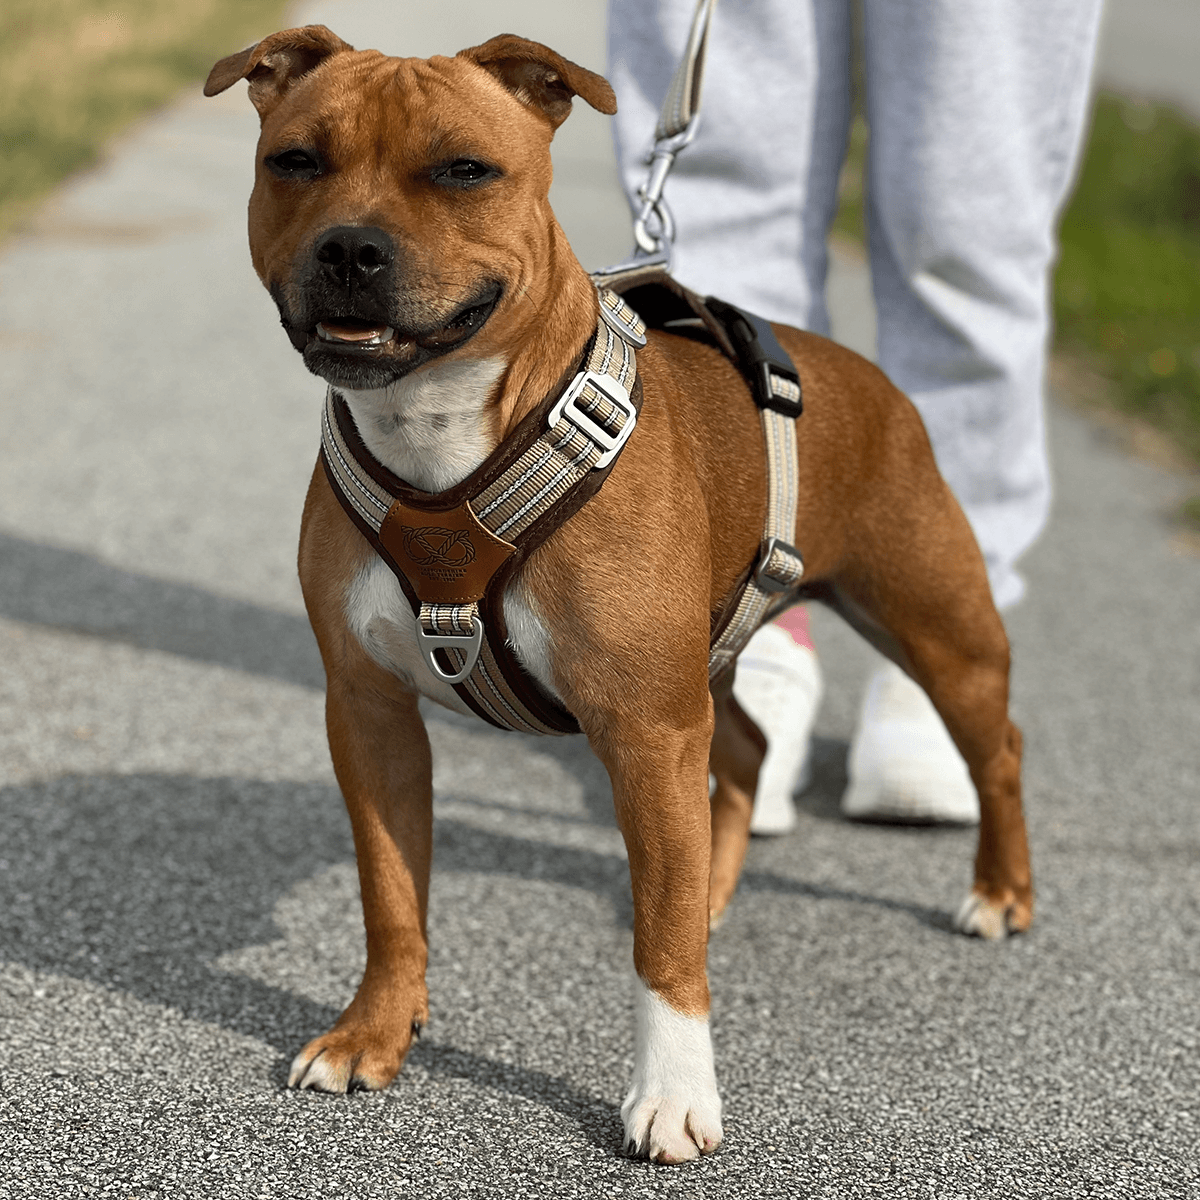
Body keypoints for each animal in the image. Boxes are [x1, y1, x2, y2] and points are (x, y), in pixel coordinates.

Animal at [206, 28, 1032, 1166]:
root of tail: (869, 379)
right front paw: (374, 1031)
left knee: (997, 751)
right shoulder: (370, 714)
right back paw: (719, 887)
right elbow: (392, 895)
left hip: (937, 632)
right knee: (745, 756)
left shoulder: (644, 730)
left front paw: (673, 1096)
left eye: (464, 169)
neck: (442, 438)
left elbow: (658, 947)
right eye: (295, 161)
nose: (351, 250)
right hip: (705, 671)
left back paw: (1000, 893)